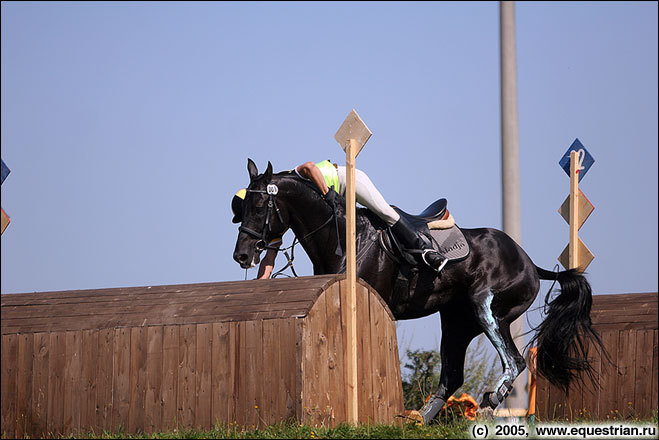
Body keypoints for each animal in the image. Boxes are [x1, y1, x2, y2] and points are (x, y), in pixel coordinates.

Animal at [235, 160, 604, 424]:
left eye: (259, 207)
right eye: (242, 210)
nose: (242, 255)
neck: (344, 236)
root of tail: (529, 262)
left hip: (488, 309)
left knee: (514, 361)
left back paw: (488, 403)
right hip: (457, 322)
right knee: (453, 375)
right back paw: (420, 420)